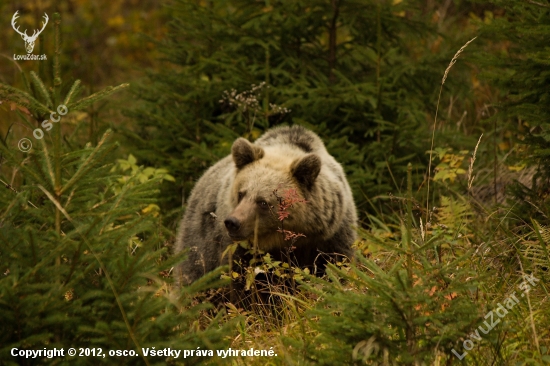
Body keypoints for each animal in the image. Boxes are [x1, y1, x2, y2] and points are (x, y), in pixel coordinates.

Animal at [175, 126, 360, 286]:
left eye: (263, 202)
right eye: (241, 193)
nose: (232, 222)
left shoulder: (330, 238)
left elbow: (335, 268)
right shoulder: (236, 249)